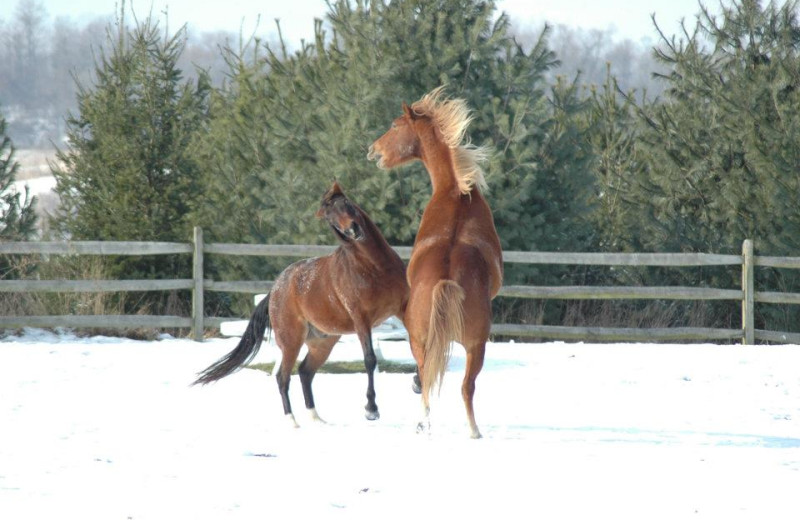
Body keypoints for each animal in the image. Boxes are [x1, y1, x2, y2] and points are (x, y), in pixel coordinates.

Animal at [192, 183, 406, 426]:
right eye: (329, 217)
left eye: (347, 203)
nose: (353, 230)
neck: (374, 267)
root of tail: (275, 290)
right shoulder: (361, 319)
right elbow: (370, 359)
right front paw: (371, 409)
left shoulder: (404, 308)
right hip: (291, 341)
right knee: (283, 377)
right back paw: (292, 421)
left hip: (323, 343)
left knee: (305, 372)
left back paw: (317, 419)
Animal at [368, 87, 504, 436]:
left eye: (395, 124)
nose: (373, 151)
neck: (457, 194)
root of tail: (446, 279)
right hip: (474, 345)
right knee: (461, 385)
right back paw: (469, 430)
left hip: (434, 340)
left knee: (436, 380)